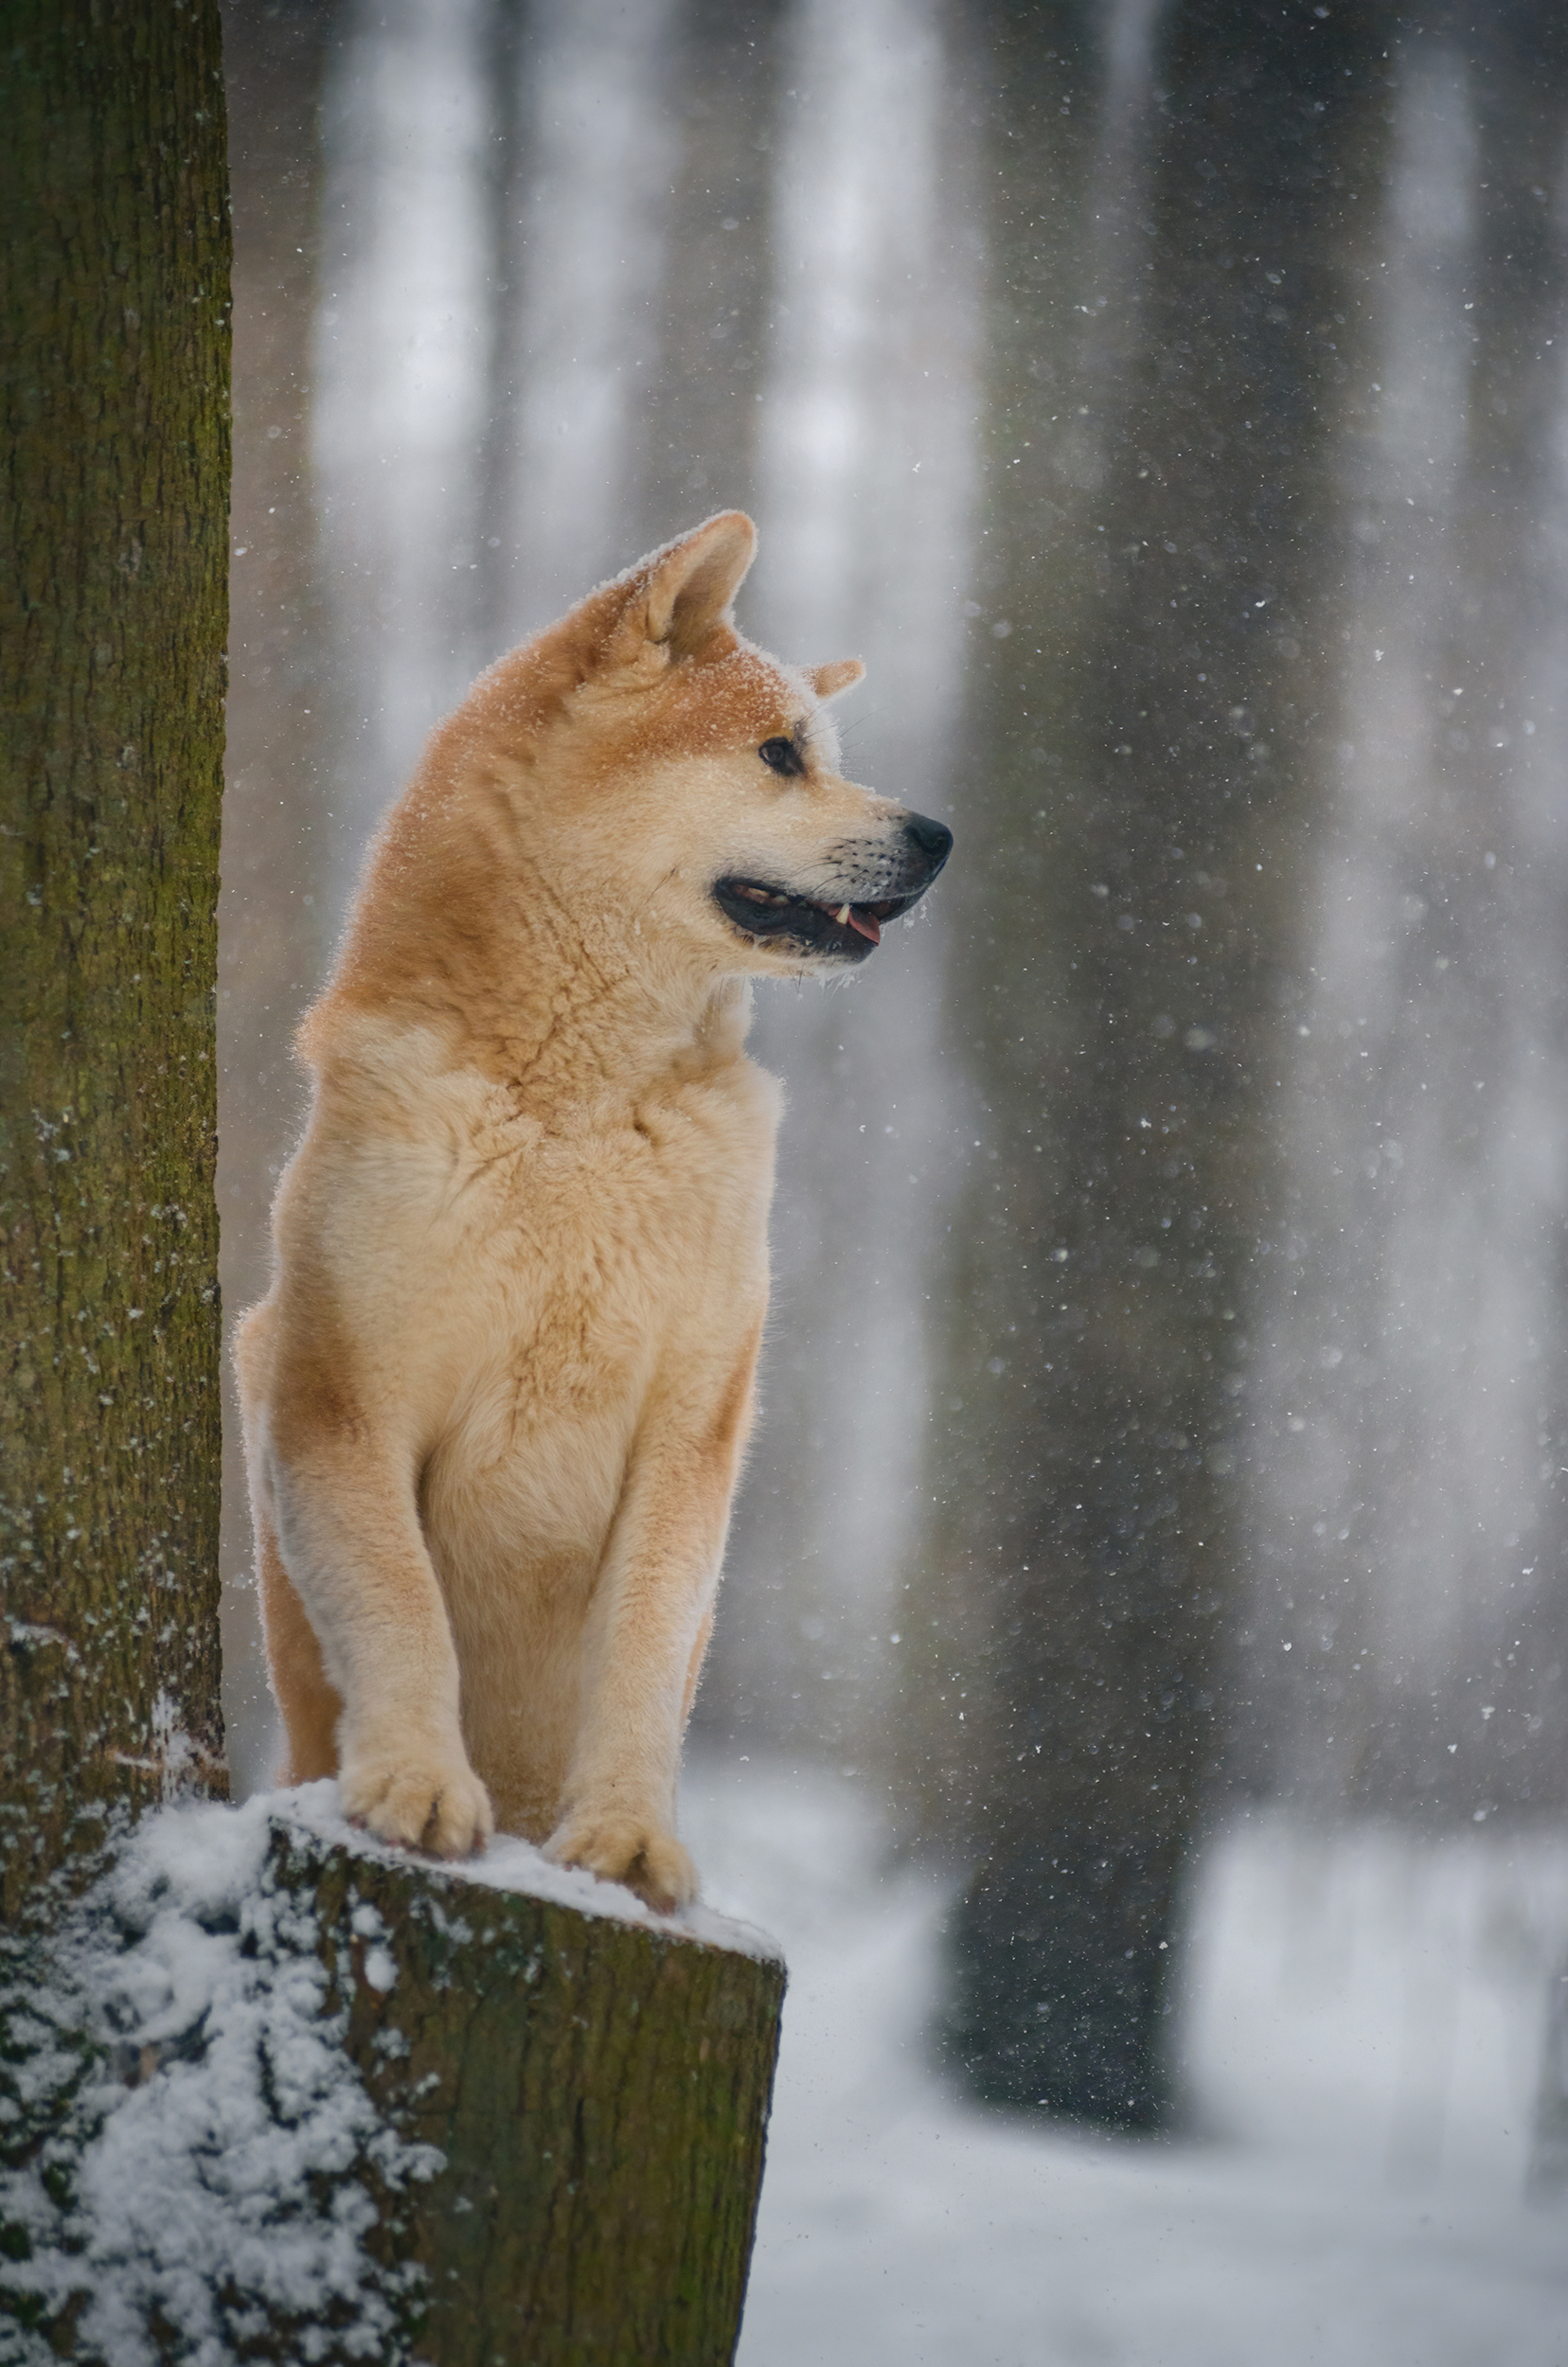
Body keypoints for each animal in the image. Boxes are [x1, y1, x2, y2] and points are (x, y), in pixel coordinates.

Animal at [233, 513, 947, 1903]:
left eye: (823, 753)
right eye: (780, 754)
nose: (940, 835)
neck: (574, 1108)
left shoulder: (692, 1428)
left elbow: (645, 1656)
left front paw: (625, 1840)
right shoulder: (338, 1395)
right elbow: (403, 1609)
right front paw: (416, 1785)